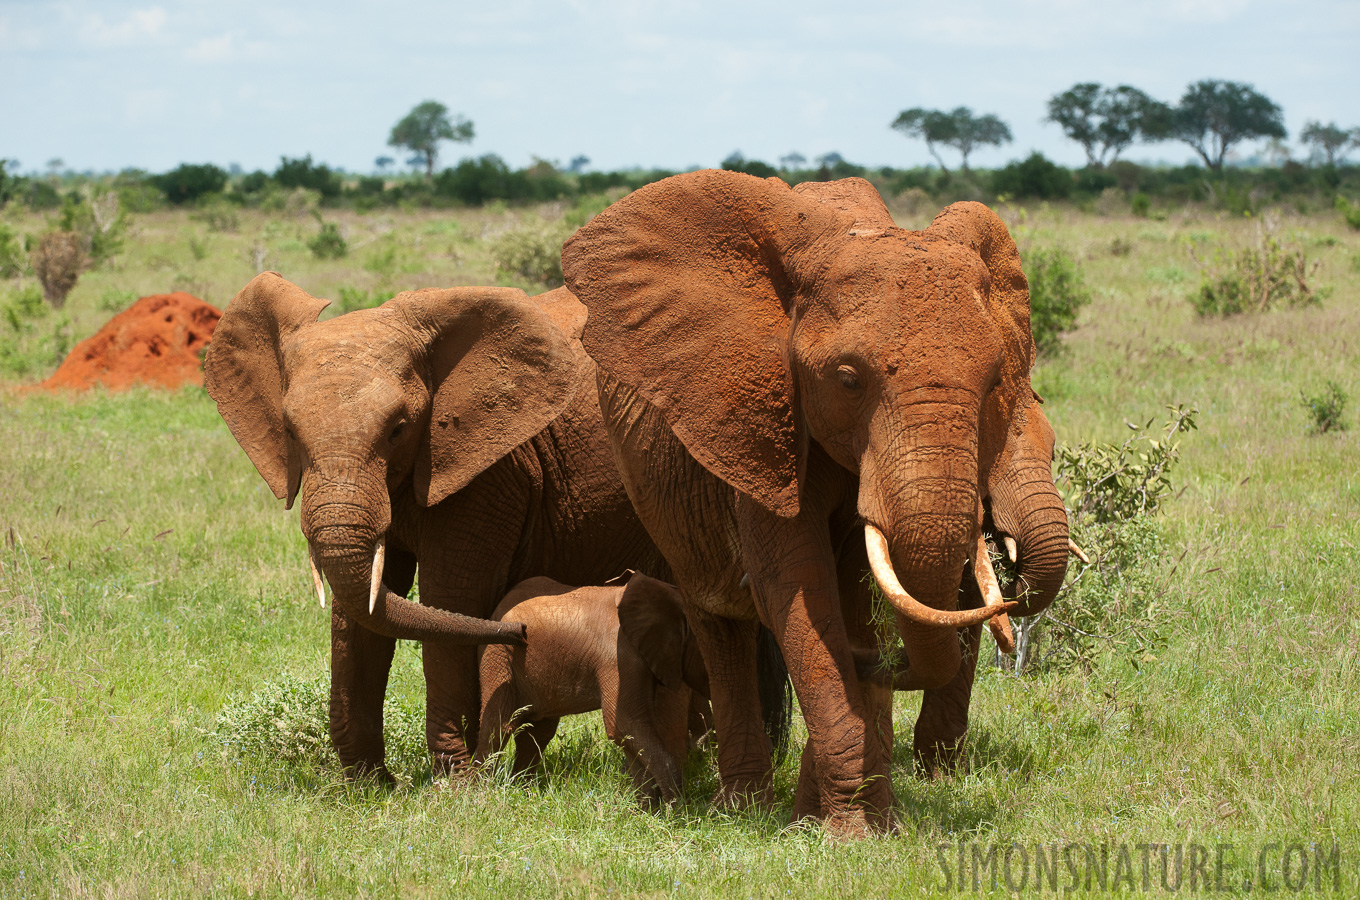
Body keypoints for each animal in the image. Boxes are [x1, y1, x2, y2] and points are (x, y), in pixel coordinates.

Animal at [205, 274, 669, 783]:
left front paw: (455, 783)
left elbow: (450, 597)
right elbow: (362, 606)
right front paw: (368, 785)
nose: (521, 629)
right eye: (290, 433)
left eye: (398, 429)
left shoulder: (490, 471)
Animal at [476, 573, 712, 804]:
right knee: (498, 727)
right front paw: (676, 810)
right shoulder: (618, 657)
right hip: (498, 656)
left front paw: (646, 809)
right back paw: (481, 792)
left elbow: (634, 733)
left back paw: (522, 790)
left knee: (537, 733)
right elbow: (625, 725)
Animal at [557, 172, 1066, 837]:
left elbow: (854, 590)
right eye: (847, 380)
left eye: (994, 383)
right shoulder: (760, 427)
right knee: (719, 625)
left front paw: (865, 823)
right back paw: (742, 805)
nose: (880, 663)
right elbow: (797, 584)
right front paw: (848, 834)